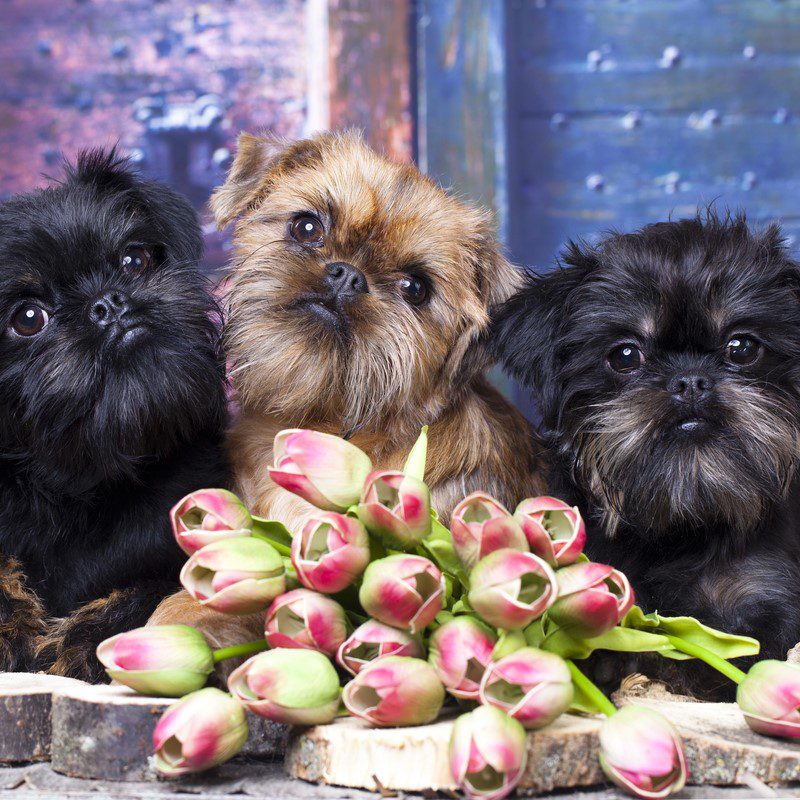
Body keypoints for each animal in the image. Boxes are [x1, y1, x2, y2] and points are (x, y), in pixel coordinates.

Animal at [0, 152, 228, 680]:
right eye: (28, 318)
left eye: (133, 260)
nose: (106, 302)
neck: (81, 487)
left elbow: (147, 592)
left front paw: (87, 645)